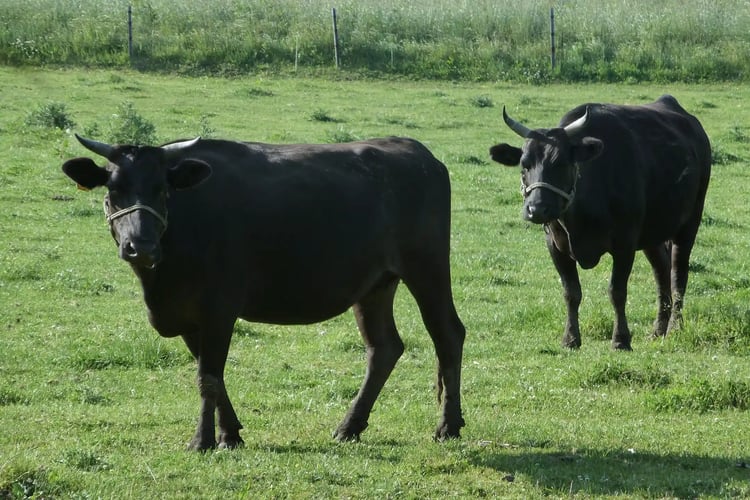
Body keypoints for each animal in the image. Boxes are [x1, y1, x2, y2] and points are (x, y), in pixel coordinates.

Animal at [61, 134, 466, 450]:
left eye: (162, 190)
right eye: (114, 190)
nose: (140, 246)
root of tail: (417, 152)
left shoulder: (219, 308)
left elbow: (208, 378)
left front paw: (202, 440)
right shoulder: (190, 317)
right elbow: (212, 375)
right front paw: (230, 434)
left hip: (427, 268)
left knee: (448, 334)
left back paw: (448, 426)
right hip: (376, 284)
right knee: (384, 348)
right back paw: (349, 427)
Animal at [489, 95, 711, 350]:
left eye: (561, 163)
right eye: (524, 165)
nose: (536, 209)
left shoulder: (625, 244)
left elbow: (617, 292)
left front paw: (621, 339)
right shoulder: (555, 246)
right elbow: (571, 292)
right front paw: (570, 338)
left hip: (689, 224)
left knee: (678, 277)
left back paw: (674, 327)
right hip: (652, 235)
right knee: (661, 273)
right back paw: (658, 330)